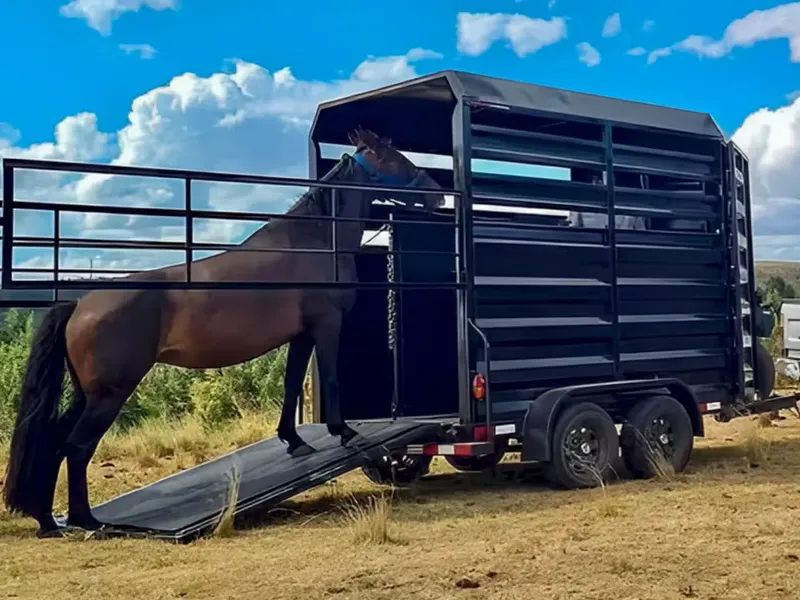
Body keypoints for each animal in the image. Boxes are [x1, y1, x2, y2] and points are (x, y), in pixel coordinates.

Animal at [2, 127, 446, 537]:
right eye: (394, 156)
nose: (438, 194)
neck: (317, 241)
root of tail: (80, 305)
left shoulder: (300, 334)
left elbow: (290, 384)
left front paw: (294, 440)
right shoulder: (326, 325)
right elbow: (333, 378)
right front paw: (343, 431)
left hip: (87, 394)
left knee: (55, 444)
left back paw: (49, 520)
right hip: (109, 394)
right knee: (76, 448)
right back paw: (86, 519)